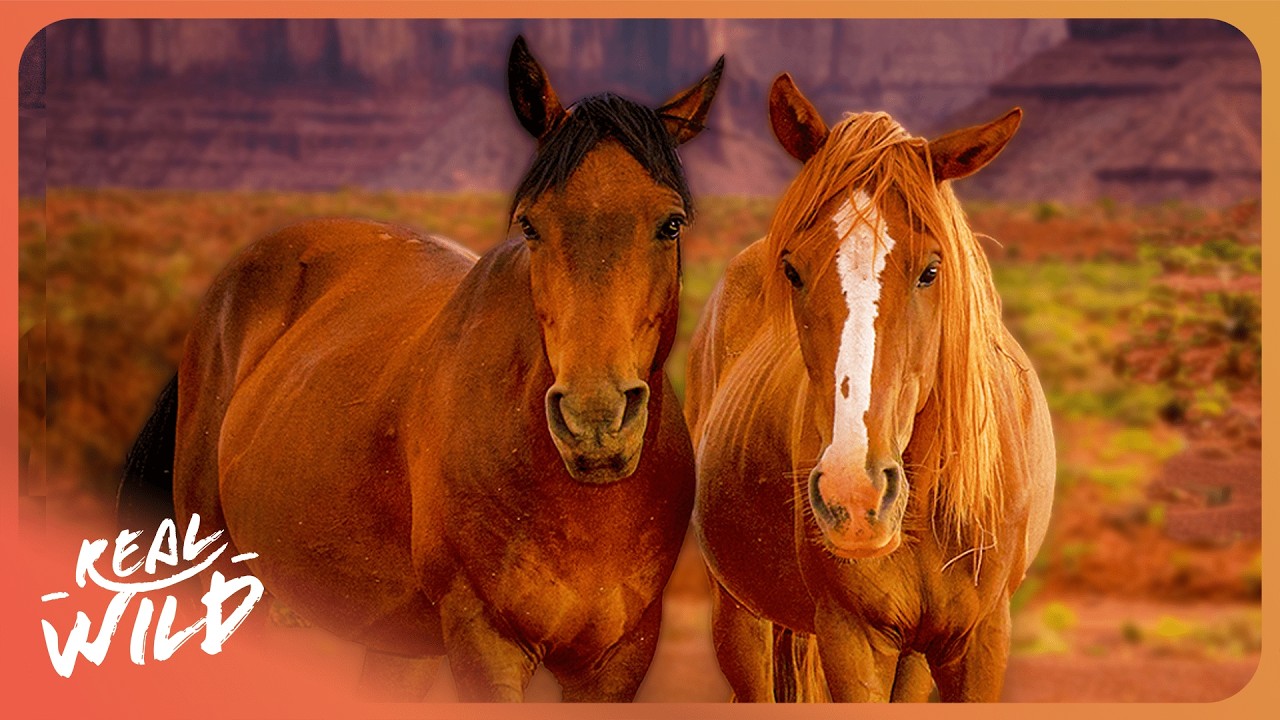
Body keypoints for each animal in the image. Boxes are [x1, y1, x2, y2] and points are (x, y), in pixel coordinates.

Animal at [685, 73, 1055, 702]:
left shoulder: (980, 640)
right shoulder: (853, 637)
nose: (854, 493)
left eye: (931, 270)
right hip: (739, 616)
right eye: (793, 270)